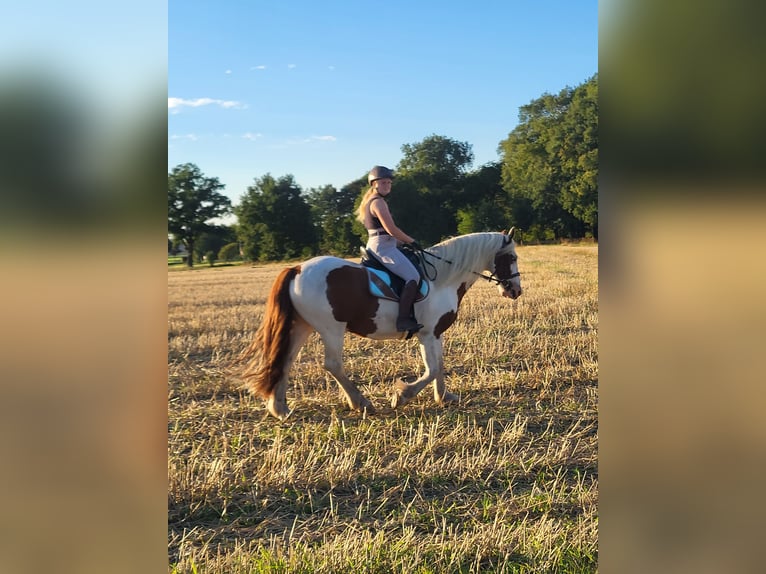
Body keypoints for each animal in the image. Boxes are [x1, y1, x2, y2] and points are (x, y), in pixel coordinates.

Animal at [243, 230, 524, 424]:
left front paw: (444, 397)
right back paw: (361, 402)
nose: (516, 290)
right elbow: (432, 369)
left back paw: (280, 408)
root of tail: (297, 268)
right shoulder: (427, 334)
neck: (443, 279)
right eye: (511, 257)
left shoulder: (435, 334)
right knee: (332, 365)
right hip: (331, 329)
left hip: (302, 327)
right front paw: (402, 395)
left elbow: (439, 365)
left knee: (285, 361)